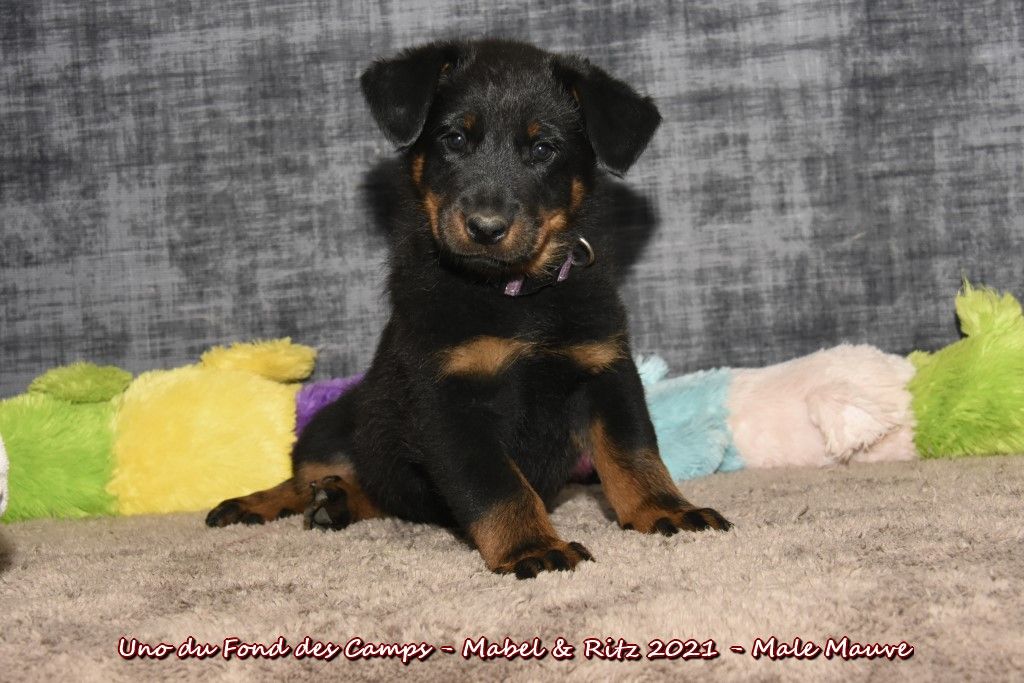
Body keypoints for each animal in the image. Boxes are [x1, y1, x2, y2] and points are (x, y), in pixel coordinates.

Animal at [206, 39, 731, 578]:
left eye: (543, 149)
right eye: (455, 138)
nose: (485, 226)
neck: (514, 296)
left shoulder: (605, 371)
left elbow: (634, 453)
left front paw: (666, 509)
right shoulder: (447, 401)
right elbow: (498, 486)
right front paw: (532, 547)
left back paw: (338, 502)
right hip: (332, 426)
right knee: (315, 476)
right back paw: (262, 502)